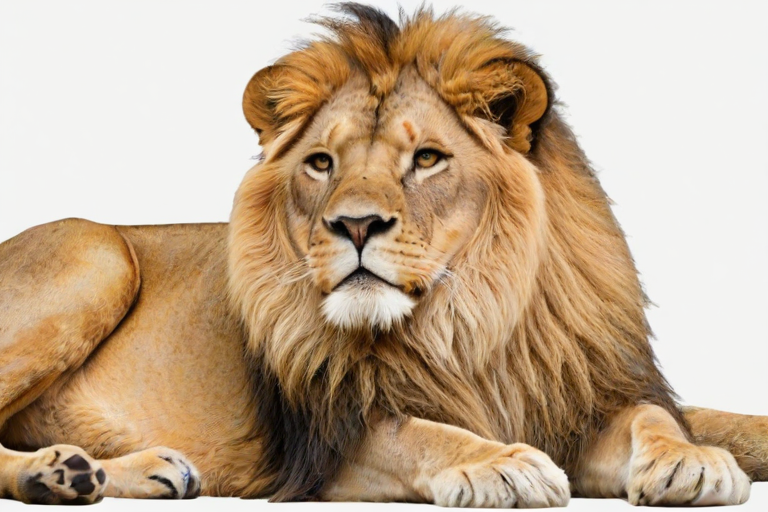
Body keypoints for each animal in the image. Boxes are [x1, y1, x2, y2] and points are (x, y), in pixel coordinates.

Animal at [0, 4, 766, 507]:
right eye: (321, 162)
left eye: (426, 158)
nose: (357, 224)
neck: (469, 318)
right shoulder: (332, 439)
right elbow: (422, 433)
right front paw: (503, 464)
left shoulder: (577, 395)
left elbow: (660, 416)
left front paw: (691, 460)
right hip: (97, 255)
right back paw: (55, 472)